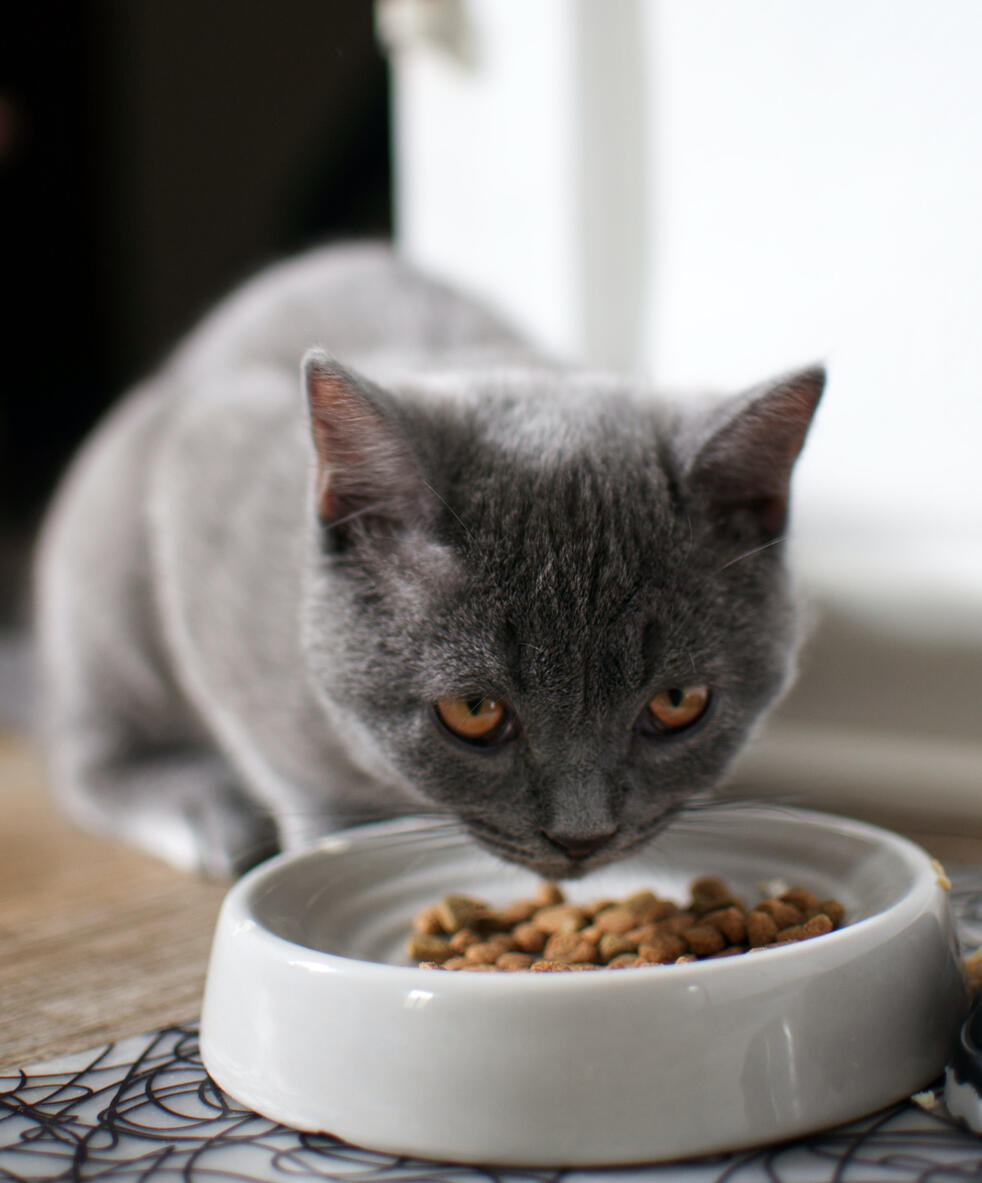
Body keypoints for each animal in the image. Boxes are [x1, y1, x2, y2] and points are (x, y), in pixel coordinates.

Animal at [34, 242, 828, 880]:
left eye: (678, 703)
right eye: (473, 712)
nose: (582, 837)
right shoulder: (204, 496)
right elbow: (296, 773)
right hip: (106, 553)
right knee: (87, 753)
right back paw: (197, 810)